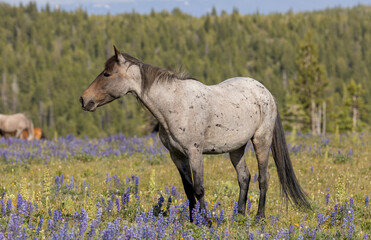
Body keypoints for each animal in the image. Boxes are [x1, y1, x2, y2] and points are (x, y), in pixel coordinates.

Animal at [80, 46, 312, 220]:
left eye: (107, 74)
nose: (84, 99)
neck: (175, 104)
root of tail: (265, 92)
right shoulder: (177, 156)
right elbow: (188, 189)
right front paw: (193, 221)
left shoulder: (194, 153)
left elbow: (199, 188)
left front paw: (206, 222)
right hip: (236, 148)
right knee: (244, 177)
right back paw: (239, 216)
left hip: (261, 141)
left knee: (263, 178)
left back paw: (259, 217)